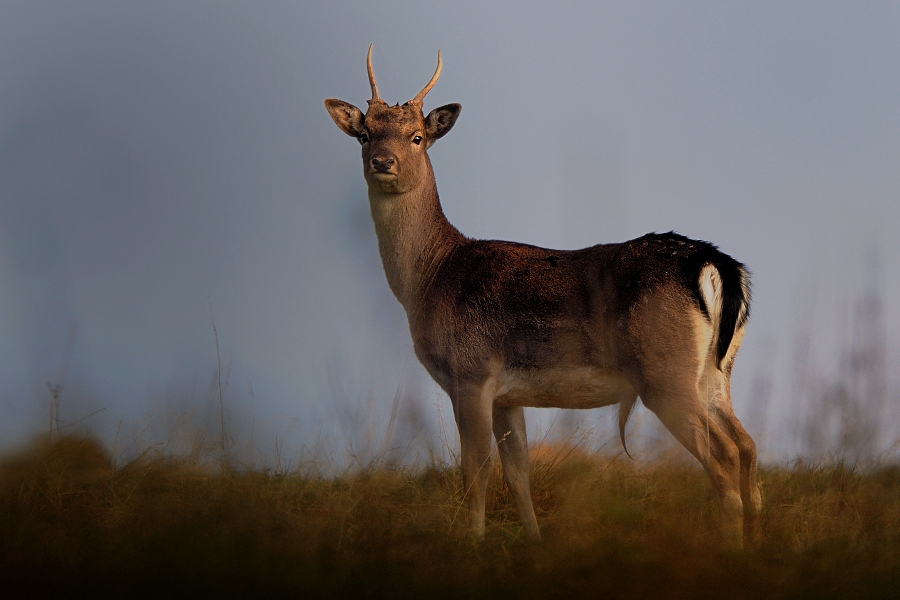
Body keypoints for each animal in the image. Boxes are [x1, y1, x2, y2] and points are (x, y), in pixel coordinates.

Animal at [324, 46, 760, 549]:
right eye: (364, 135)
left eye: (417, 137)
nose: (383, 162)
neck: (430, 279)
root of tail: (715, 264)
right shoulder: (507, 395)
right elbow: (518, 471)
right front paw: (533, 541)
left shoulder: (471, 372)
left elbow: (476, 470)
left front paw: (473, 543)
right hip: (716, 372)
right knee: (748, 446)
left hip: (664, 371)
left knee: (724, 456)